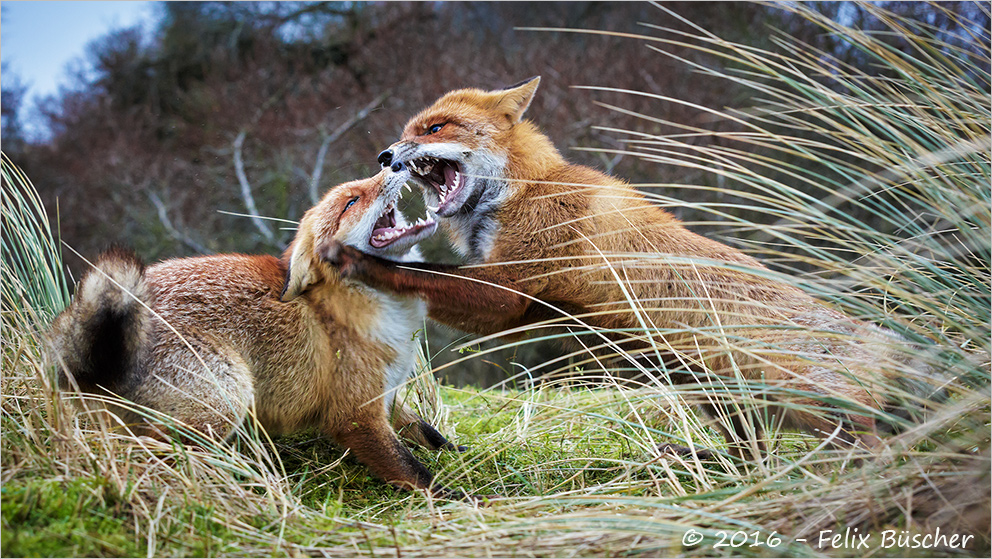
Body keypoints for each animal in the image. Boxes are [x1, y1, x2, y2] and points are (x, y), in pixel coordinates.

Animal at [46, 168, 464, 496]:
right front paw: (458, 503)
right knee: (145, 453)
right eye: (351, 202)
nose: (392, 161)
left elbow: (429, 434)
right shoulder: (355, 413)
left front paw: (460, 453)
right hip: (227, 397)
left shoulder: (386, 393)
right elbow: (414, 471)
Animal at [330, 76, 940, 462]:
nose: (386, 156)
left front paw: (360, 261)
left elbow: (424, 275)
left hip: (813, 411)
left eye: (435, 129)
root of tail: (885, 339)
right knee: (754, 460)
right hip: (725, 402)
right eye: (408, 132)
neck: (524, 190)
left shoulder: (512, 293)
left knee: (873, 453)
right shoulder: (524, 306)